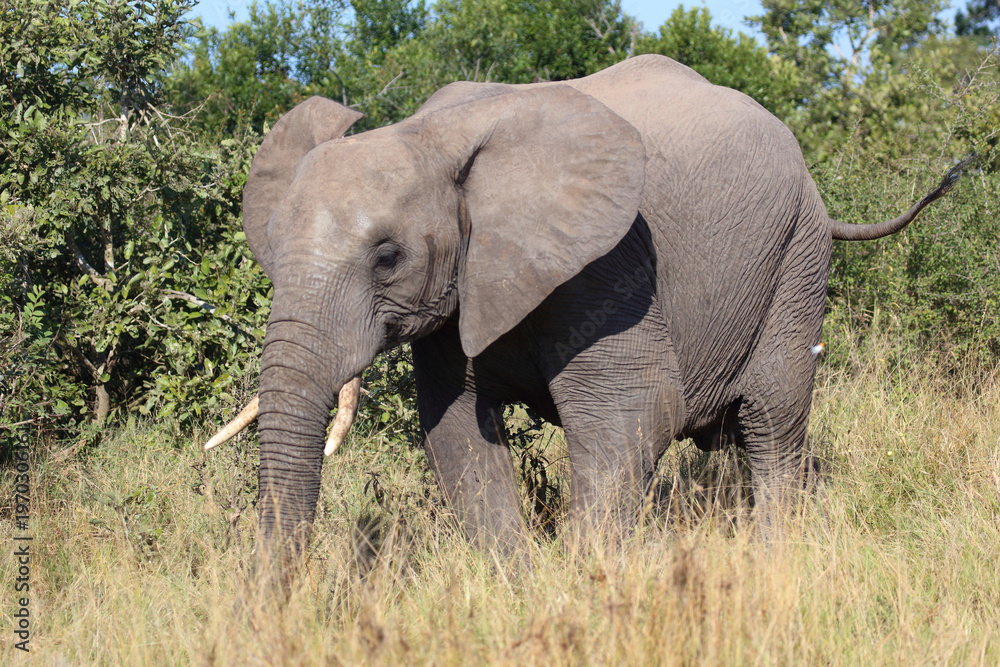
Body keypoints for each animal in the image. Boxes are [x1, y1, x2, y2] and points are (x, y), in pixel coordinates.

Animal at [207, 54, 964, 571]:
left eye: (387, 256)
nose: (280, 597)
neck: (433, 136)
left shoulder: (610, 264)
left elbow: (633, 412)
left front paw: (584, 584)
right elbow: (456, 429)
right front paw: (516, 587)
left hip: (795, 256)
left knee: (773, 421)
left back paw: (777, 557)